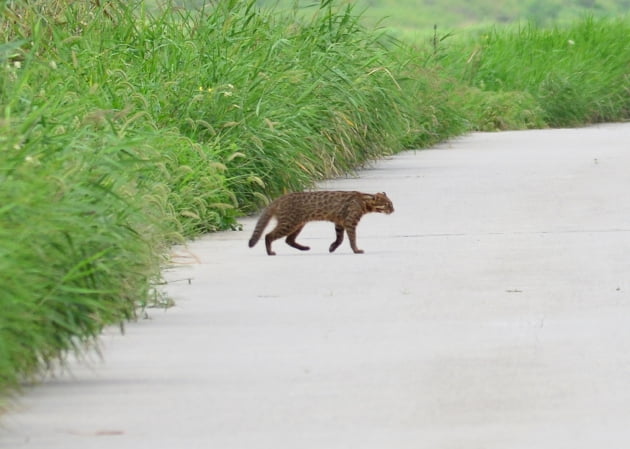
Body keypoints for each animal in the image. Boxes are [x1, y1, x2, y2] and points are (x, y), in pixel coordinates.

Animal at [248, 190, 392, 256]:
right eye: (387, 204)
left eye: (391, 204)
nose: (393, 209)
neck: (363, 201)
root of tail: (278, 199)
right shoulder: (350, 222)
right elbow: (352, 239)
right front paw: (356, 250)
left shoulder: (339, 223)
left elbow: (339, 239)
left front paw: (332, 247)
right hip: (289, 223)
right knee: (268, 235)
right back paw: (270, 252)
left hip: (298, 224)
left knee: (289, 240)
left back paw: (304, 248)